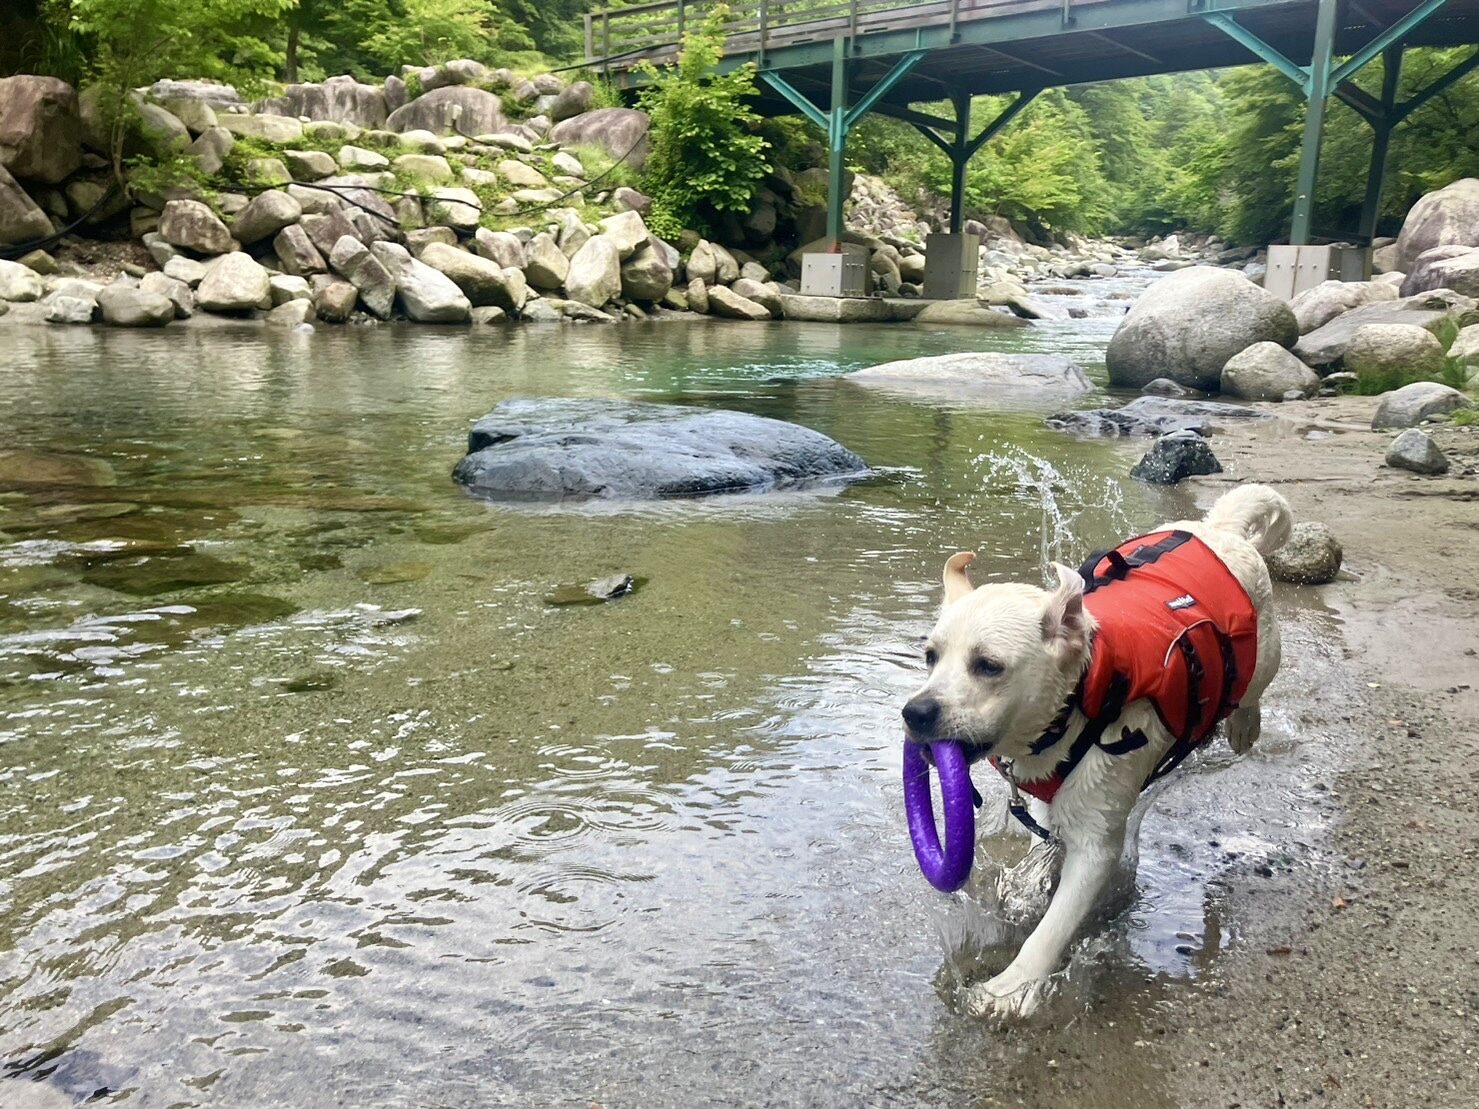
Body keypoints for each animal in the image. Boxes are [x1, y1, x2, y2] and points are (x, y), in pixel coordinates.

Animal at [893, 482, 1289, 1023]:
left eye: (988, 666)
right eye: (930, 657)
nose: (915, 712)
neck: (1080, 700)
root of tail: (1218, 531)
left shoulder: (1097, 843)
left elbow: (1054, 926)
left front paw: (1008, 988)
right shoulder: (1047, 792)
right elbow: (1042, 837)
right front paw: (1027, 883)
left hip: (1264, 655)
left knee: (1254, 690)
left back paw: (1245, 726)